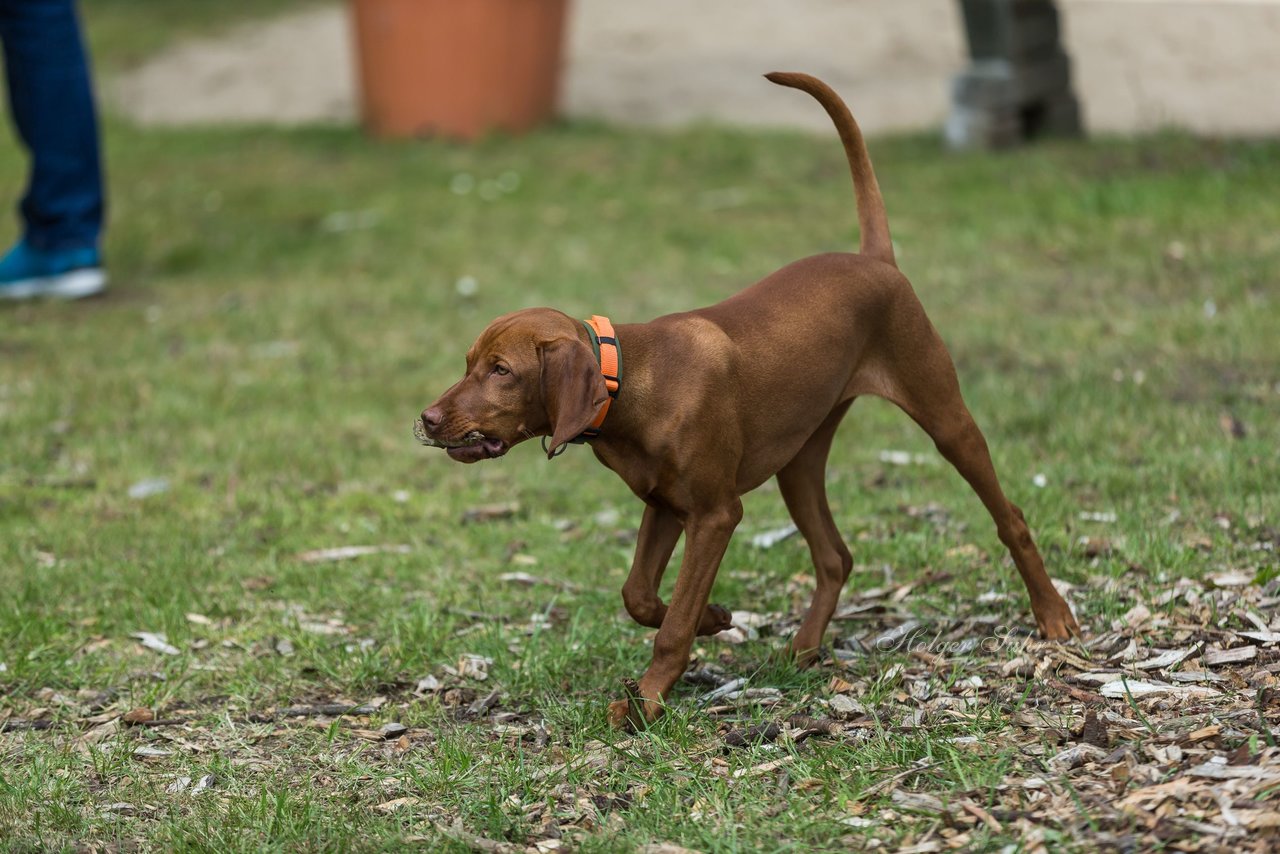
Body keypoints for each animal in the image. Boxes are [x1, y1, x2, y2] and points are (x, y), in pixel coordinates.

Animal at [419, 71, 1080, 727]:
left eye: (501, 370)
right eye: (469, 364)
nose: (426, 418)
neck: (630, 377)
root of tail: (875, 259)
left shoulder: (715, 514)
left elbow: (671, 621)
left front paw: (649, 699)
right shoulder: (665, 505)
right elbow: (640, 596)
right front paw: (715, 618)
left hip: (944, 417)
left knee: (1010, 517)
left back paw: (1054, 617)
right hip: (800, 460)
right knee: (835, 556)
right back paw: (804, 650)